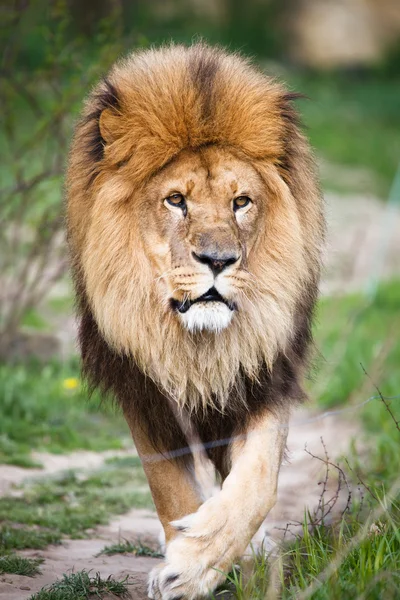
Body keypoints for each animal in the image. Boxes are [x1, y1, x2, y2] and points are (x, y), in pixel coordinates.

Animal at [67, 43, 324, 600]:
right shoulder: (142, 389)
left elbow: (256, 482)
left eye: (241, 202)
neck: (196, 344)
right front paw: (185, 566)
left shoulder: (263, 374)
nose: (218, 260)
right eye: (176, 200)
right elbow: (170, 489)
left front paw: (204, 560)